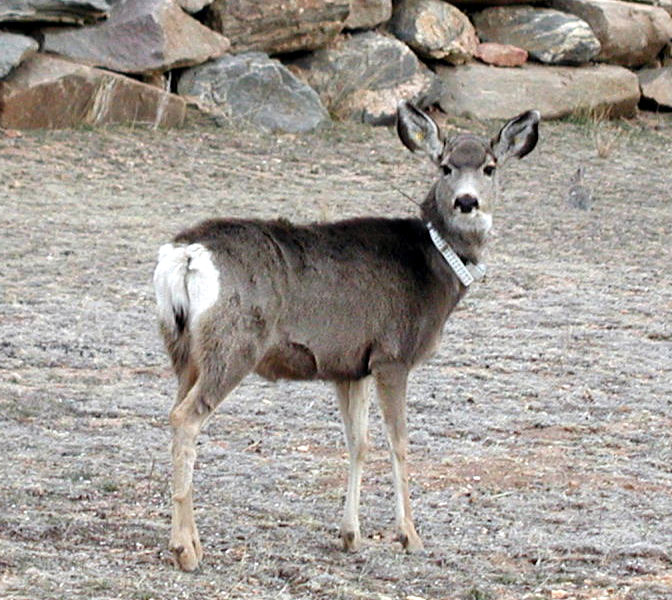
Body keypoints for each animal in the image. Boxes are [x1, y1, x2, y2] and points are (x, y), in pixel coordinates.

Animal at [153, 101, 540, 571]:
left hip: (183, 349)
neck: (435, 265)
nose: (467, 202)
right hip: (233, 344)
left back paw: (189, 539)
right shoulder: (392, 354)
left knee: (173, 412)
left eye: (489, 167)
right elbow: (398, 442)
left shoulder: (349, 365)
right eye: (445, 166)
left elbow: (358, 442)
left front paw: (350, 535)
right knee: (185, 418)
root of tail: (186, 255)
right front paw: (409, 535)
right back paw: (186, 550)